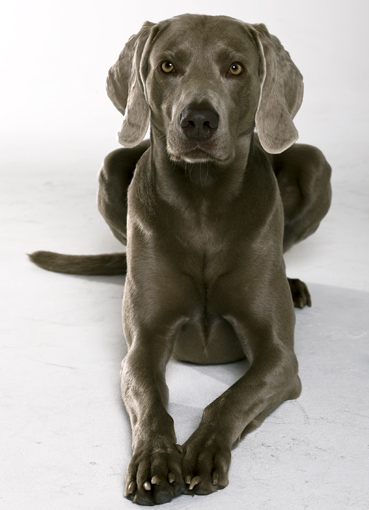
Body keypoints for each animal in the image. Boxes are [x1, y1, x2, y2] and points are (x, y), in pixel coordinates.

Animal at [30, 12, 330, 506]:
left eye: (236, 68)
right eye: (167, 66)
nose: (199, 121)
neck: (204, 203)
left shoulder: (280, 358)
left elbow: (230, 398)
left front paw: (203, 452)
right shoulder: (142, 345)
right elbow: (150, 398)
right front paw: (155, 460)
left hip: (313, 164)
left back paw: (293, 284)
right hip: (113, 167)